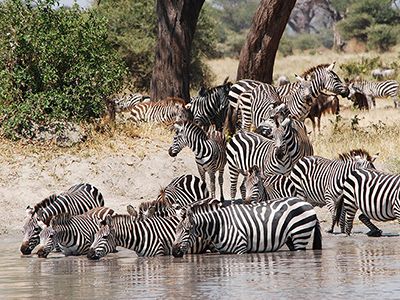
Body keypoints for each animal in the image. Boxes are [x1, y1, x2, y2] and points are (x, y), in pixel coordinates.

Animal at [172, 197, 322, 258]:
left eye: (186, 231)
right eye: (176, 230)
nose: (174, 251)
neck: (220, 226)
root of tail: (306, 202)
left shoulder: (241, 250)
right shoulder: (224, 253)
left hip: (300, 234)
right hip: (291, 238)